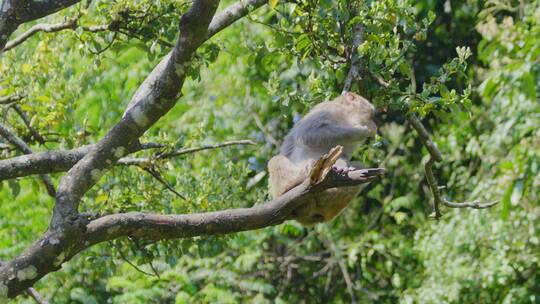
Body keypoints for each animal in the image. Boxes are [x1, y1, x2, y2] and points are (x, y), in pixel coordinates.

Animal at [268, 92, 378, 226]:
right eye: (372, 115)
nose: (375, 126)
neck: (346, 117)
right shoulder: (327, 109)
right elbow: (307, 134)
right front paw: (359, 131)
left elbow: (343, 156)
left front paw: (341, 166)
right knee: (275, 160)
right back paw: (294, 181)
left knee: (360, 166)